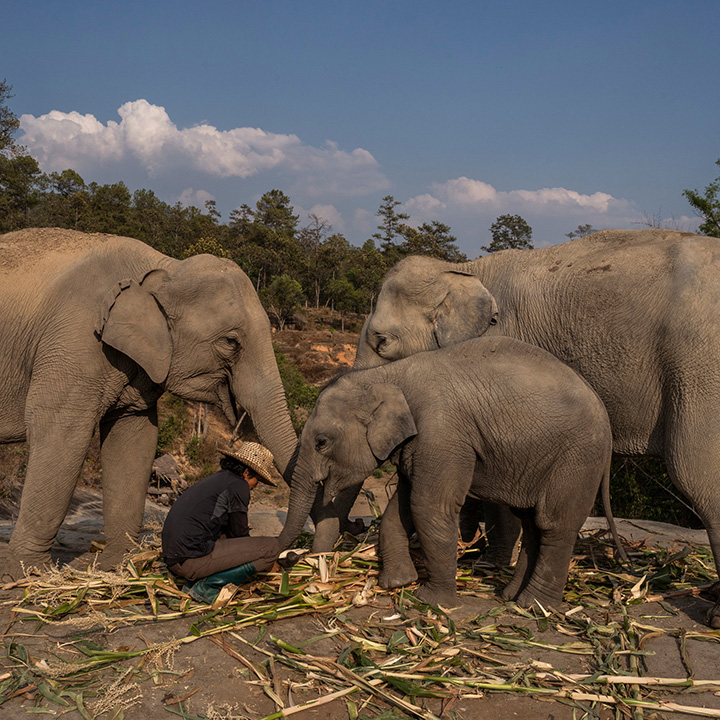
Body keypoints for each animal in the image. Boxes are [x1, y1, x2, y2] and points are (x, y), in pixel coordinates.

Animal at [0, 228, 300, 576]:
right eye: (230, 342)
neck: (164, 267)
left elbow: (134, 438)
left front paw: (122, 564)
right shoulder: (74, 341)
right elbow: (62, 432)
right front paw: (29, 575)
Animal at [278, 336, 620, 608]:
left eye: (321, 442)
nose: (294, 559)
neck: (388, 374)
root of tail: (606, 421)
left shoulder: (441, 434)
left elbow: (429, 506)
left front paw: (431, 601)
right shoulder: (418, 444)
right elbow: (401, 508)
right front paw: (397, 583)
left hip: (576, 460)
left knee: (554, 524)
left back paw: (535, 606)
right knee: (532, 522)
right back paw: (510, 597)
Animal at [350, 229, 720, 624]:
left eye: (382, 342)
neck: (464, 269)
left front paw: (486, 563)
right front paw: (469, 550)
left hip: (698, 372)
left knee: (696, 476)